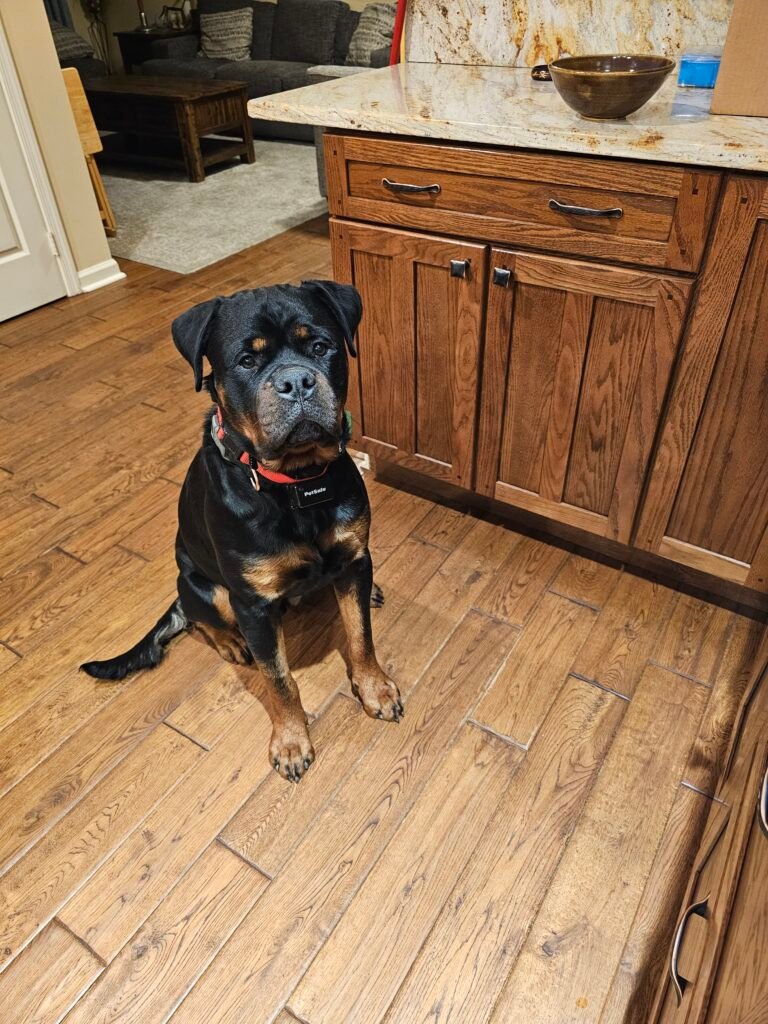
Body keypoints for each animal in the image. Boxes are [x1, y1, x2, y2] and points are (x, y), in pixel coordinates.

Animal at [82, 280, 403, 782]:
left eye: (320, 346)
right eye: (247, 361)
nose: (297, 382)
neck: (295, 484)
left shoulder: (354, 556)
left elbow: (360, 636)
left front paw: (375, 688)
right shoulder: (252, 603)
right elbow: (280, 678)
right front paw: (291, 742)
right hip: (200, 585)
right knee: (200, 616)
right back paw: (231, 643)